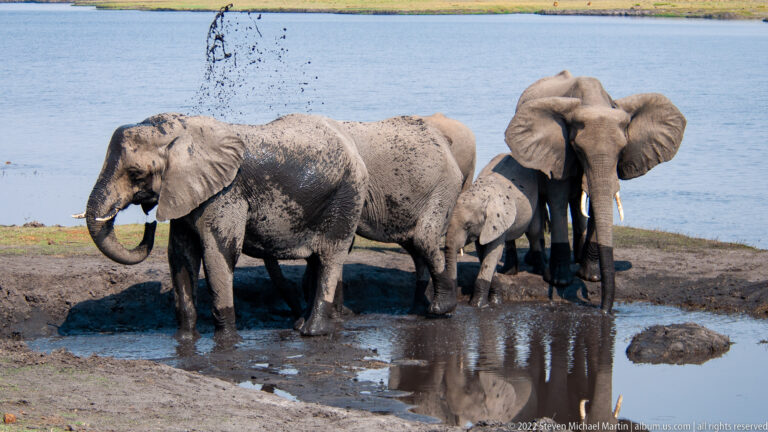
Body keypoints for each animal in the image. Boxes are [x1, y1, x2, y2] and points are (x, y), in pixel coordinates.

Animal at [80, 113, 369, 339]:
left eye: (136, 173)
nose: (149, 223)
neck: (182, 134)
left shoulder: (226, 195)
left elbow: (218, 254)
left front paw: (227, 339)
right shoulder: (187, 193)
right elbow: (180, 256)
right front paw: (185, 337)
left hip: (348, 196)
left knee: (330, 258)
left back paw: (312, 332)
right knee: (316, 261)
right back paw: (299, 325)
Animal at [443, 153, 546, 309]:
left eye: (468, 225)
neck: (481, 194)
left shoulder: (494, 222)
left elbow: (492, 254)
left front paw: (478, 305)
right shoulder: (486, 226)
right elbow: (484, 253)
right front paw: (496, 299)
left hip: (536, 198)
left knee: (533, 232)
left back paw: (538, 270)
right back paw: (509, 272)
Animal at [505, 70, 686, 313]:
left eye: (622, 149)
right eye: (578, 148)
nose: (604, 309)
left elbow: (596, 201)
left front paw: (591, 276)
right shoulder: (558, 150)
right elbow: (558, 197)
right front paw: (560, 281)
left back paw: (577, 257)